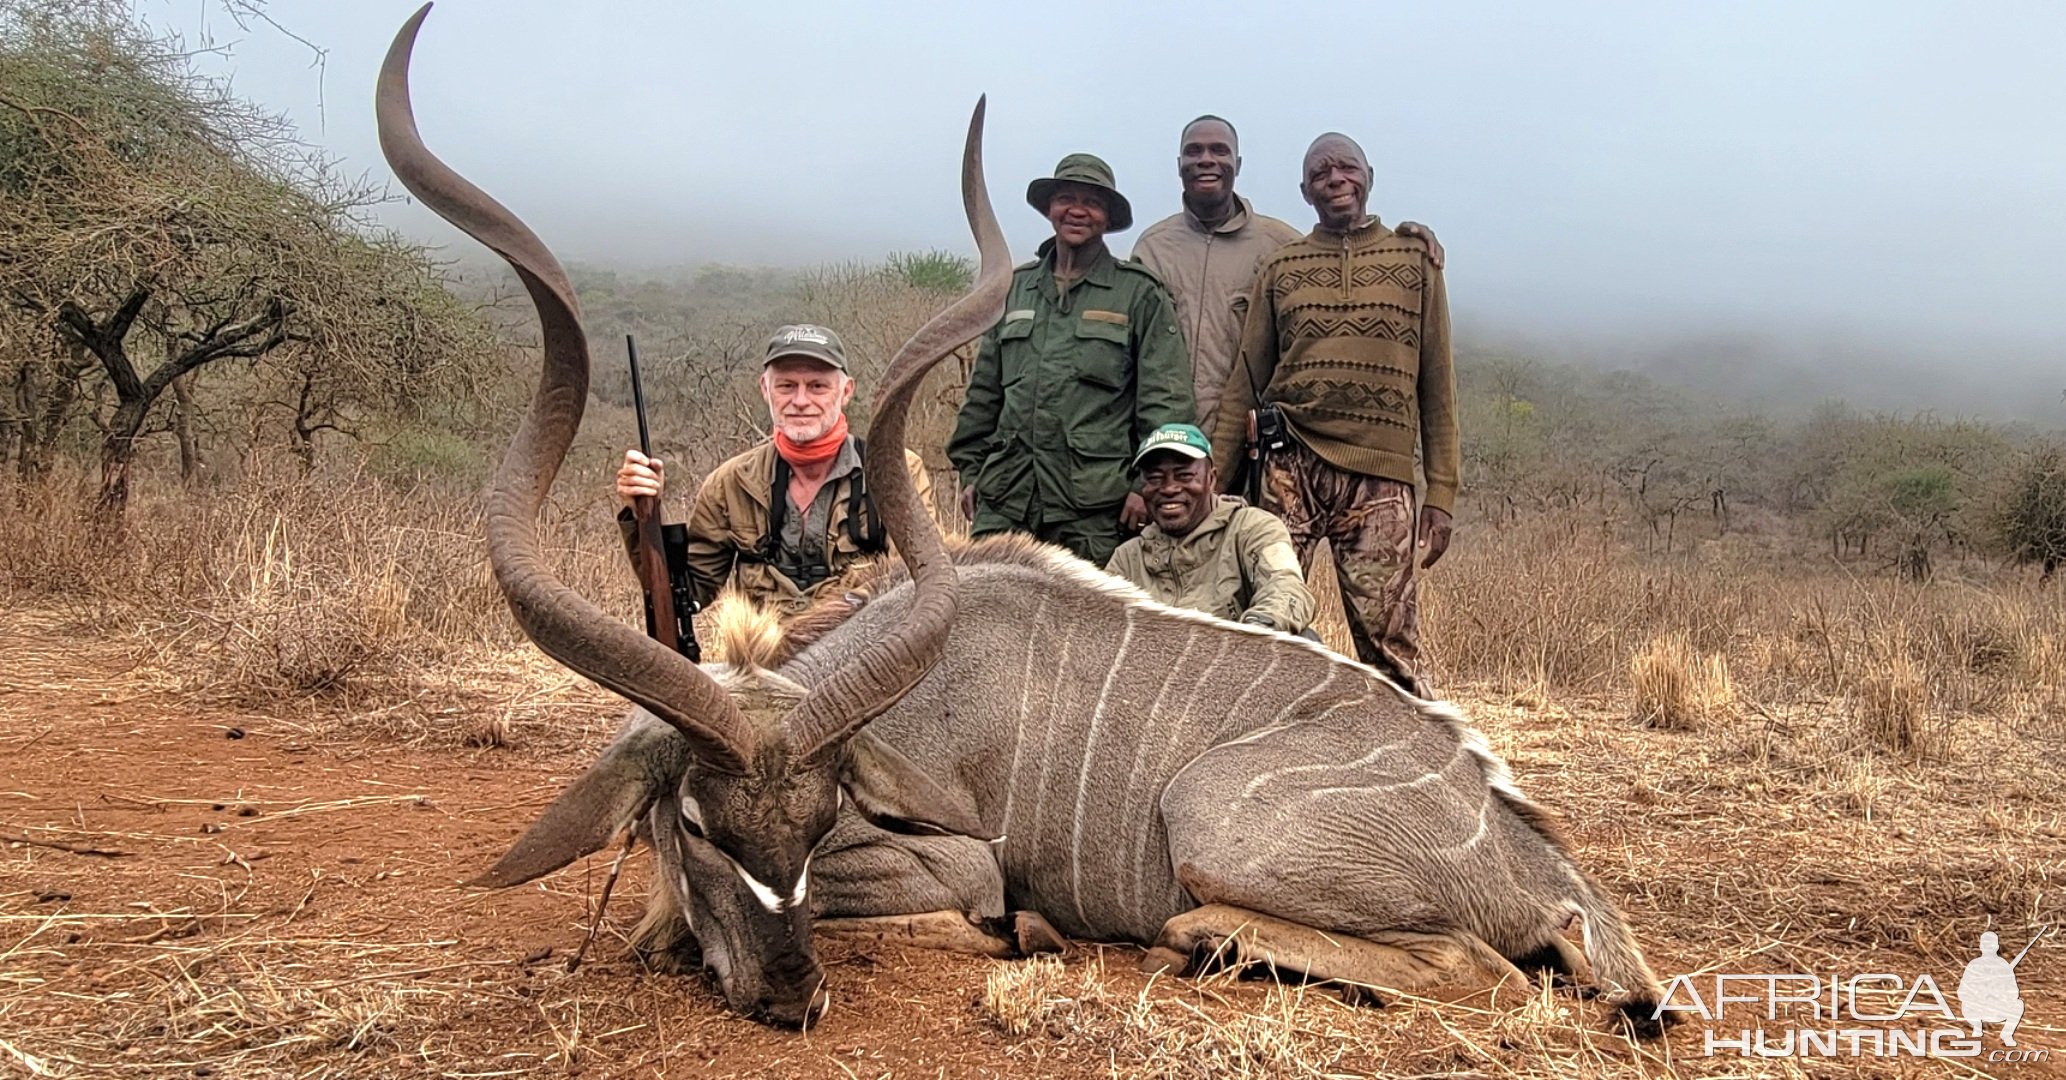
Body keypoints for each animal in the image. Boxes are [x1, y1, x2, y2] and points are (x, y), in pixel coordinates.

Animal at [380, 8, 1669, 1040]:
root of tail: (1540, 866)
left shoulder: (944, 861)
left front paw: (1021, 933)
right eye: (697, 824)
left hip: (1211, 823)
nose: (793, 997)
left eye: (817, 818)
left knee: (1468, 965)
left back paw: (1193, 936)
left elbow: (944, 908)